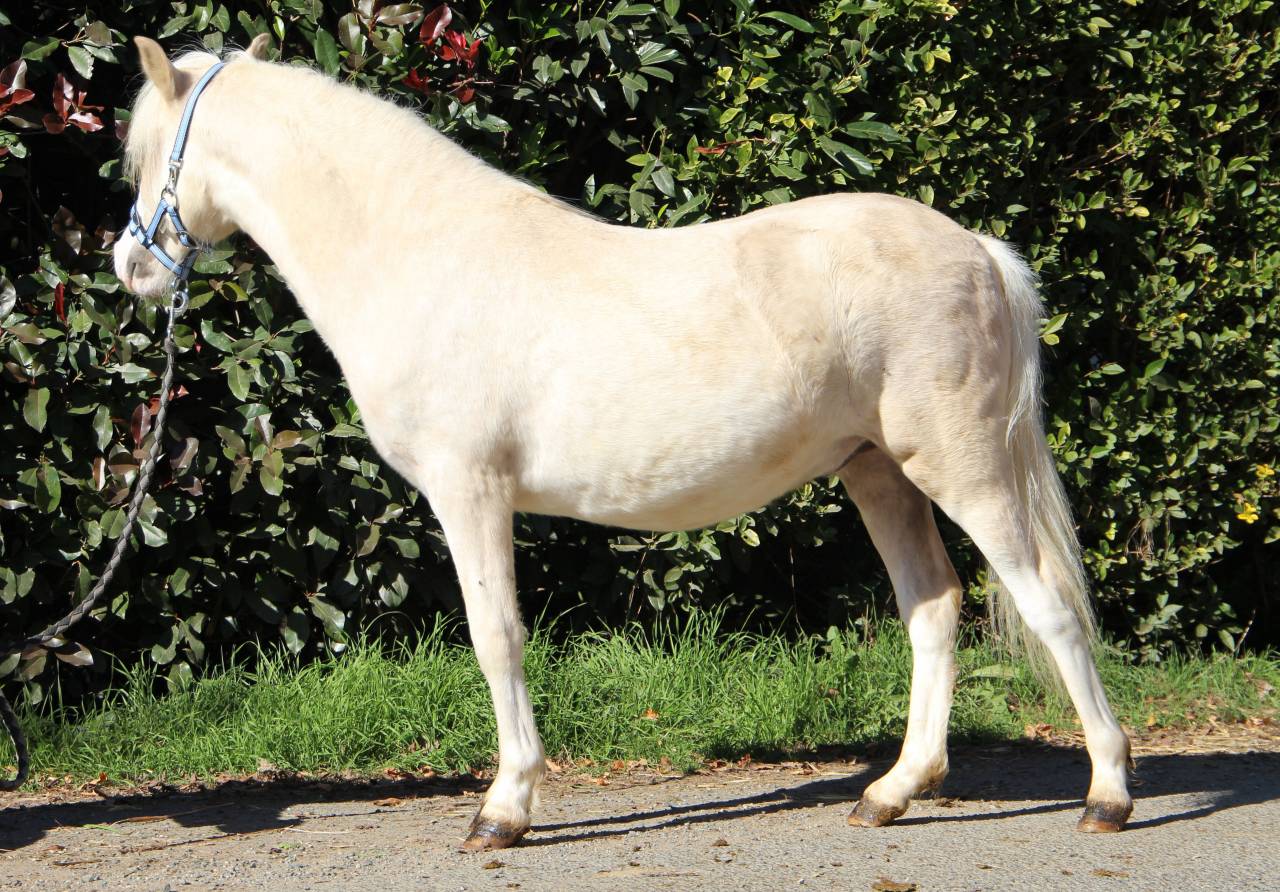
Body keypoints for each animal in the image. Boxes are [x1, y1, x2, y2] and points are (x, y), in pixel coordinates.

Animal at [113, 35, 1133, 851]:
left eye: (143, 158)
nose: (129, 268)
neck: (422, 256)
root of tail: (977, 250)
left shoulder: (468, 489)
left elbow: (496, 638)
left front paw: (504, 810)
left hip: (963, 469)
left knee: (1047, 605)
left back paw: (1108, 795)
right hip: (877, 473)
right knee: (933, 608)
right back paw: (891, 794)